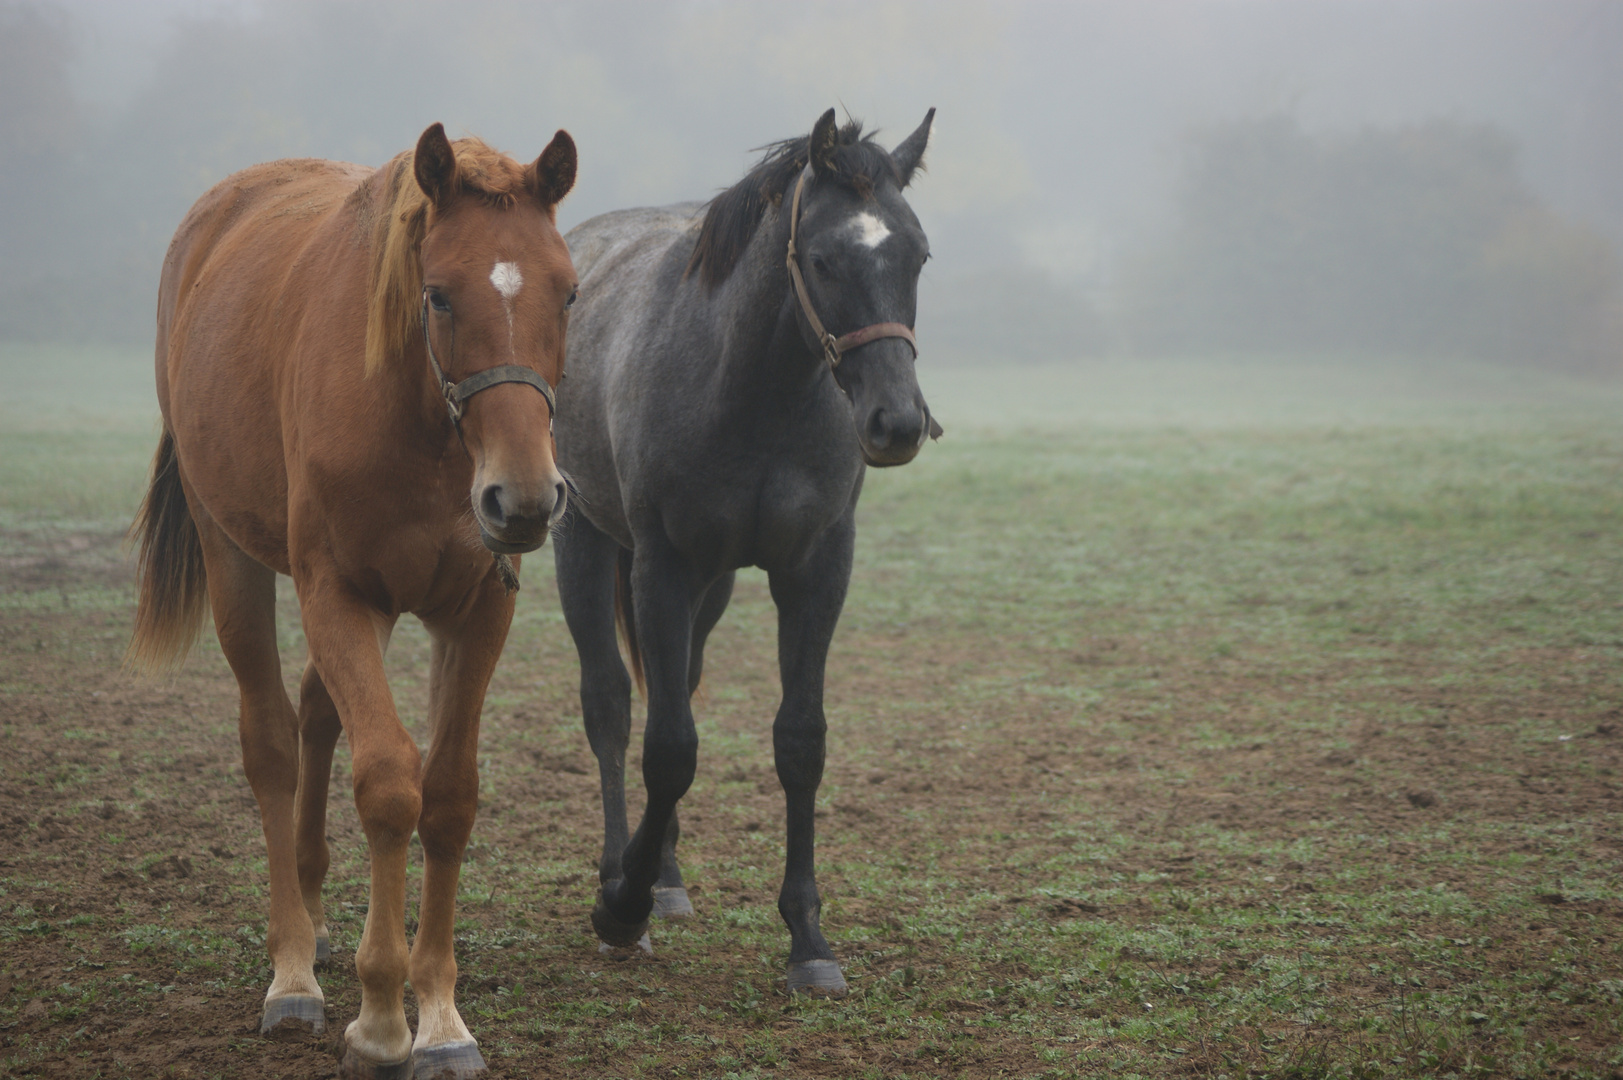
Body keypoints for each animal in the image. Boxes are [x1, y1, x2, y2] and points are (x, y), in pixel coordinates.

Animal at [131, 124, 577, 1078]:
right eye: (438, 295)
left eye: (569, 290)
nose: (524, 500)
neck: (423, 428)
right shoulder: (336, 594)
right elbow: (387, 786)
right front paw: (380, 1016)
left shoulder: (477, 609)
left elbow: (447, 795)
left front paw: (439, 1015)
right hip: (234, 556)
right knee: (271, 741)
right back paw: (294, 966)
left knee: (313, 709)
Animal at [555, 109, 941, 993]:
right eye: (823, 258)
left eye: (917, 253)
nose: (897, 423)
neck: (751, 389)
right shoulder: (659, 565)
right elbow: (666, 747)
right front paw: (619, 907)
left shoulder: (815, 569)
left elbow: (798, 741)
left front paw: (808, 939)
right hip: (583, 541)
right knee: (611, 704)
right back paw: (620, 876)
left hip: (713, 585)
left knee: (676, 689)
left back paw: (663, 877)